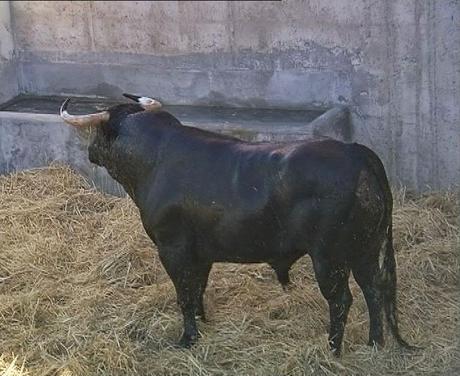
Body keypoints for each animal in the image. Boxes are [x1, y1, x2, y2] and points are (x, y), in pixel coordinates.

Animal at [59, 95, 416, 354]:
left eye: (100, 133)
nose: (90, 152)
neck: (155, 159)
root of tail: (357, 154)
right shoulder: (200, 253)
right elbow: (197, 288)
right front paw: (202, 321)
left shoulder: (172, 248)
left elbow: (183, 292)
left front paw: (186, 339)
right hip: (364, 249)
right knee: (373, 289)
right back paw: (373, 343)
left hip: (329, 257)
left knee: (342, 299)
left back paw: (333, 349)